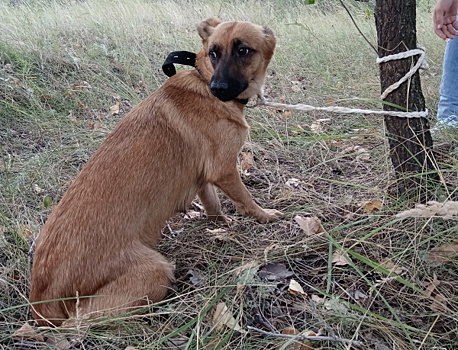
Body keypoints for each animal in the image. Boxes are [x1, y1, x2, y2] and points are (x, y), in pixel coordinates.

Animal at [30, 17, 280, 326]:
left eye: (243, 50)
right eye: (214, 52)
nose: (218, 88)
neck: (202, 78)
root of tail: (41, 303)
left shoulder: (203, 177)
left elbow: (213, 205)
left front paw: (221, 224)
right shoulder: (224, 170)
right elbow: (246, 200)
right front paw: (264, 216)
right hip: (155, 271)